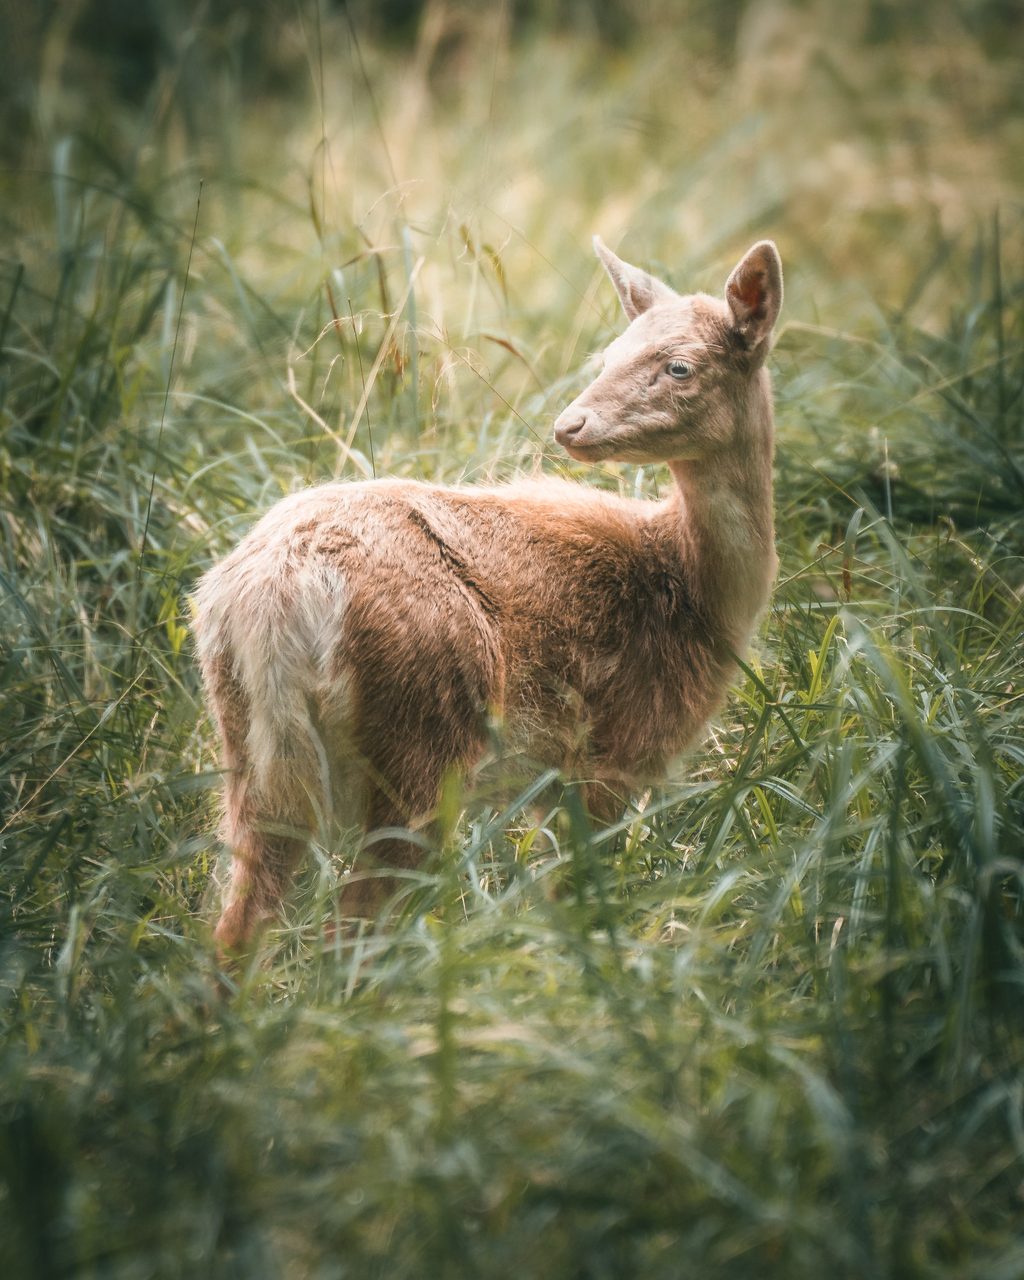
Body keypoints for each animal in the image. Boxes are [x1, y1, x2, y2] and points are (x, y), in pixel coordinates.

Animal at [194, 237, 782, 949]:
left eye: (679, 366)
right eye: (609, 354)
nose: (570, 425)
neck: (687, 583)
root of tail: (274, 591)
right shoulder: (611, 753)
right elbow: (580, 899)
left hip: (252, 753)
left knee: (239, 924)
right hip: (422, 737)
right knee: (353, 922)